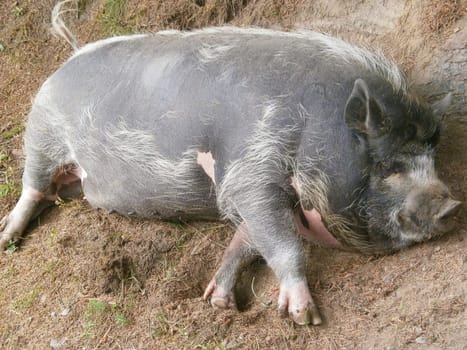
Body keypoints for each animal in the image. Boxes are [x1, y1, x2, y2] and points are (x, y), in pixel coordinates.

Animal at [0, 3, 460, 326]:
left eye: (431, 157)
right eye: (388, 166)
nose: (452, 205)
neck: (311, 128)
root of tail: (69, 57)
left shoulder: (250, 193)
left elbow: (247, 239)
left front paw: (217, 302)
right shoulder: (249, 172)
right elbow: (282, 243)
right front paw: (304, 317)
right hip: (42, 133)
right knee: (33, 187)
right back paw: (7, 238)